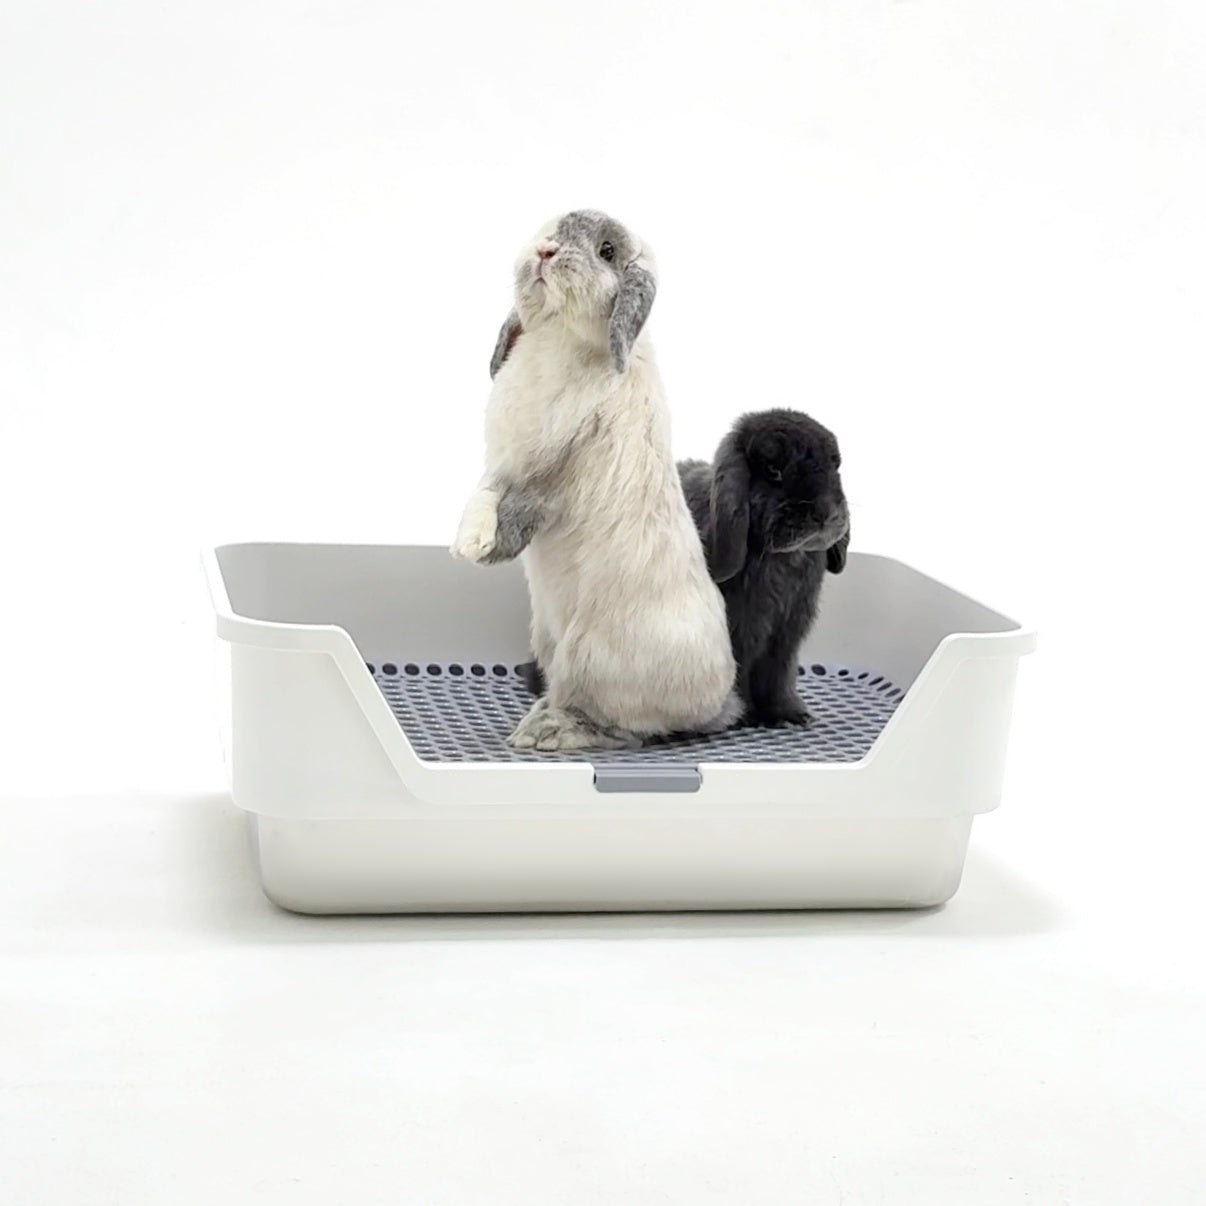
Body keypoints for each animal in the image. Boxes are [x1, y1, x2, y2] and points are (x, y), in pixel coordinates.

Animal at [451, 209, 737, 751]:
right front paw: (468, 546)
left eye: (607, 252)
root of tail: (717, 701)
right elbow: (482, 498)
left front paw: (486, 549)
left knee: (625, 728)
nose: (544, 251)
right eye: (551, 228)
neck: (558, 336)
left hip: (589, 656)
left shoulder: (556, 472)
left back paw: (548, 729)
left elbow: (524, 506)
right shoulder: (499, 465)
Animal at [678, 409, 850, 728]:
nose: (824, 512)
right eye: (773, 469)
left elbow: (779, 676)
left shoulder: (786, 637)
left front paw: (793, 713)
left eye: (835, 465)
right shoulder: (740, 634)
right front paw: (745, 716)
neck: (786, 558)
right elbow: (740, 677)